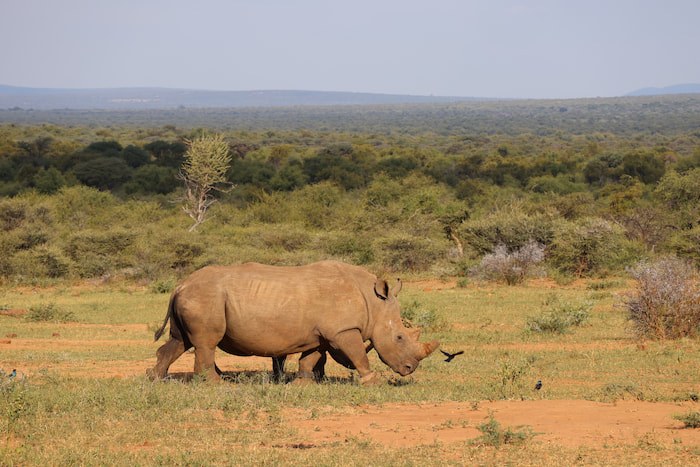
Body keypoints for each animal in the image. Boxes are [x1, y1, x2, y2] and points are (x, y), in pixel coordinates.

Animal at [149, 260, 439, 385]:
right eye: (399, 337)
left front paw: (303, 384)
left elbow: (310, 358)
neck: (373, 301)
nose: (409, 369)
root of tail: (179, 285)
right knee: (205, 343)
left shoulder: (321, 334)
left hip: (193, 297)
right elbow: (359, 355)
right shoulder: (342, 330)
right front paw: (372, 382)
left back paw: (156, 380)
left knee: (180, 341)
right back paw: (216, 386)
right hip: (205, 298)